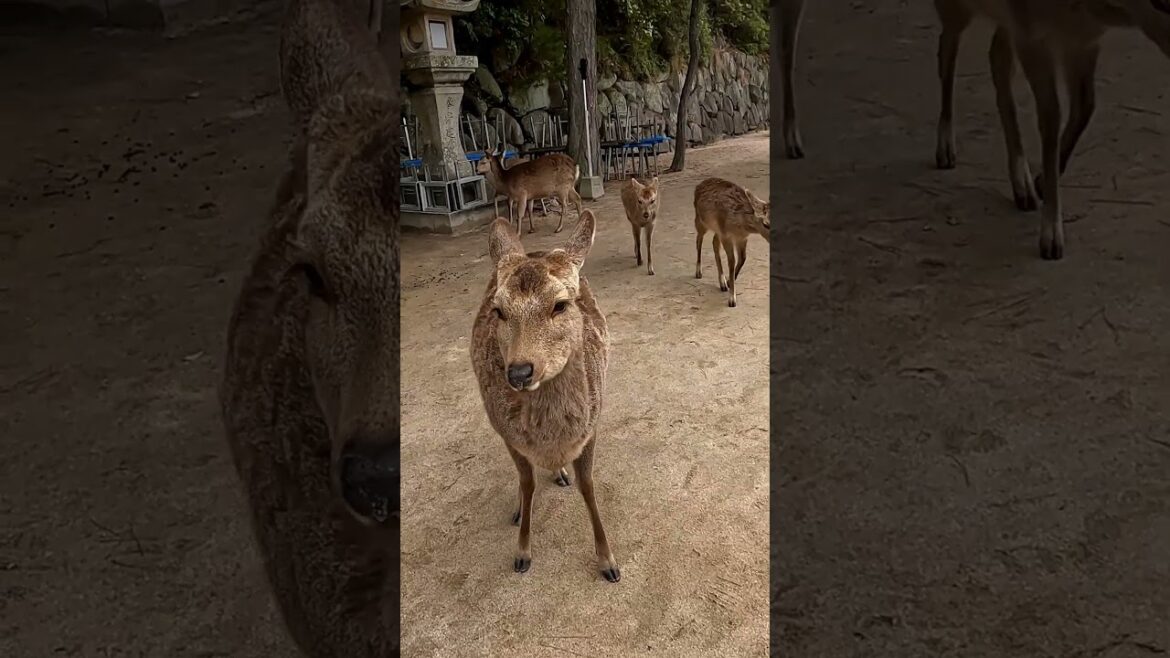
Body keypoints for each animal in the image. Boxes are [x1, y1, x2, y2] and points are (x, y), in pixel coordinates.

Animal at [469, 211, 621, 583]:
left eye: (561, 304)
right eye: (499, 311)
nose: (520, 372)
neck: (553, 440)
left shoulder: (591, 426)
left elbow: (588, 485)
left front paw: (608, 561)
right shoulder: (506, 433)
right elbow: (527, 483)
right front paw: (522, 552)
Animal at [693, 178, 771, 308]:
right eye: (766, 224)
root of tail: (699, 185)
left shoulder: (741, 238)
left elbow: (742, 258)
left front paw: (729, 282)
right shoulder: (727, 236)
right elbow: (731, 262)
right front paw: (732, 299)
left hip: (717, 229)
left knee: (714, 242)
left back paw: (722, 282)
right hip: (700, 220)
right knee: (699, 239)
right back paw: (698, 272)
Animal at [931, 0, 1170, 260]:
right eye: (1161, 4)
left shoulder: (1082, 41)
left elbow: (1086, 106)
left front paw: (1040, 183)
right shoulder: (1033, 38)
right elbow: (1051, 118)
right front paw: (1051, 237)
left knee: (997, 57)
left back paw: (1023, 188)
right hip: (957, 10)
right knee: (947, 48)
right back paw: (945, 149)